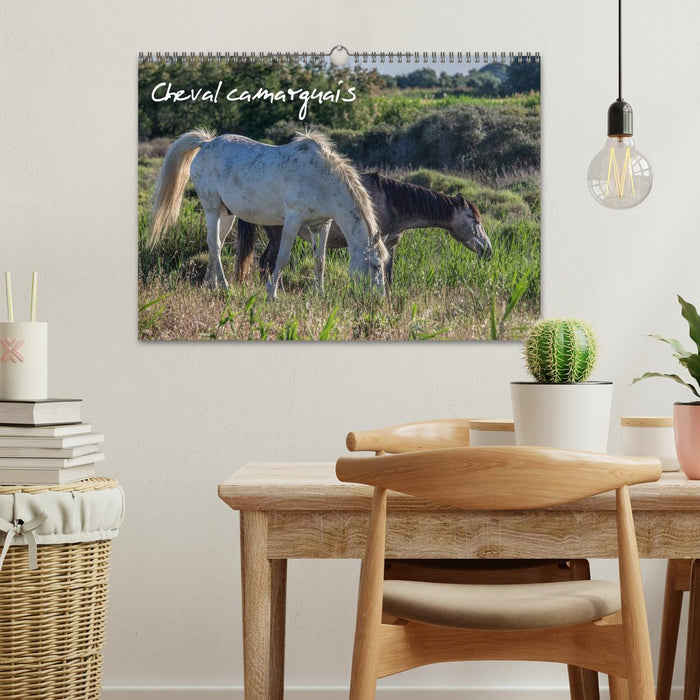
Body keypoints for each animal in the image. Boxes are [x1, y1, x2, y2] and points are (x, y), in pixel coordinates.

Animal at [149, 129, 387, 299]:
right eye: (375, 265)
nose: (380, 298)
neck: (321, 179)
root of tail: (206, 143)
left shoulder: (321, 224)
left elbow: (320, 260)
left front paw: (319, 293)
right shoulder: (293, 220)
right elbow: (282, 257)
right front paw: (271, 293)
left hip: (226, 214)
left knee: (216, 243)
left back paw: (211, 284)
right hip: (211, 208)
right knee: (215, 244)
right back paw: (225, 286)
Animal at [235, 172, 492, 285]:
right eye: (475, 222)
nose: (489, 251)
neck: (391, 202)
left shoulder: (390, 246)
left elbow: (389, 274)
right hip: (278, 235)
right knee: (268, 263)